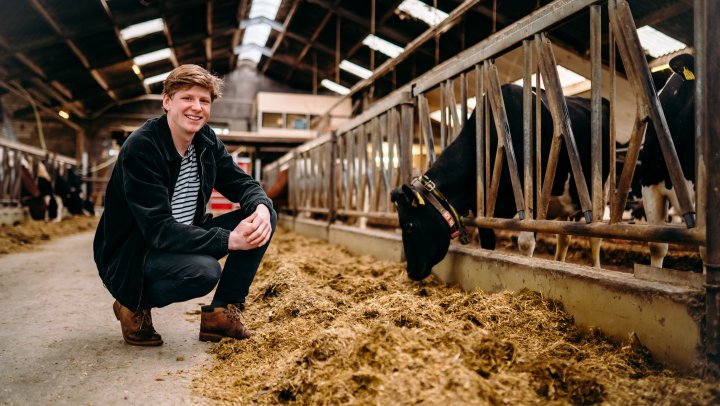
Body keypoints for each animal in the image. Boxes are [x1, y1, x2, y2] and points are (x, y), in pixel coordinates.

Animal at [394, 82, 608, 280]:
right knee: (564, 237)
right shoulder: (483, 209)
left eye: (410, 226)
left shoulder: (534, 198)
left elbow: (526, 245)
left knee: (595, 238)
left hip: (600, 192)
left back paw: (596, 268)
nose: (410, 272)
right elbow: (488, 244)